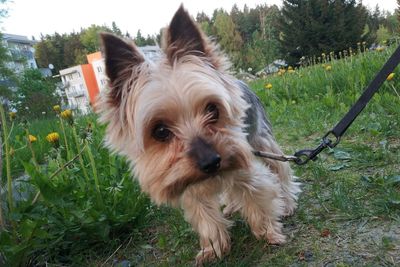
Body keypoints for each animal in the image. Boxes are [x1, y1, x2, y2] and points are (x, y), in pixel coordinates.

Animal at [97, 4, 300, 266]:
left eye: (212, 109)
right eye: (160, 131)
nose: (211, 162)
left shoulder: (245, 165)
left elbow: (258, 197)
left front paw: (269, 234)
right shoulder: (189, 186)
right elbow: (206, 218)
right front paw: (213, 249)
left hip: (261, 139)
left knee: (281, 168)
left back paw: (287, 203)